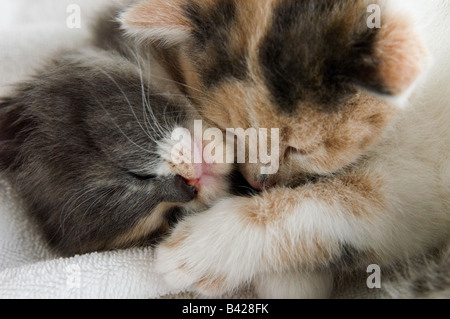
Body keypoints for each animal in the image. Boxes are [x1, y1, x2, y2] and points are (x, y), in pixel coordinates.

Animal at [120, 0, 450, 300]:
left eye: (297, 149)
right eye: (231, 131)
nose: (257, 182)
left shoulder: (418, 183)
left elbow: (357, 200)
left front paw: (203, 249)